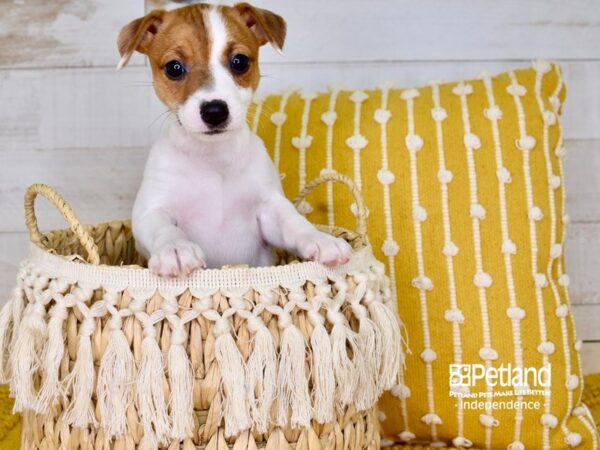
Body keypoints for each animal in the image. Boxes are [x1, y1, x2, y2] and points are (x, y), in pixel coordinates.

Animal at [118, 1, 354, 276]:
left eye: (239, 62)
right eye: (174, 68)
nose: (214, 111)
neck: (213, 158)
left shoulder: (269, 208)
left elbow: (293, 223)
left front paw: (321, 239)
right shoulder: (149, 211)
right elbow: (163, 228)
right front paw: (175, 249)